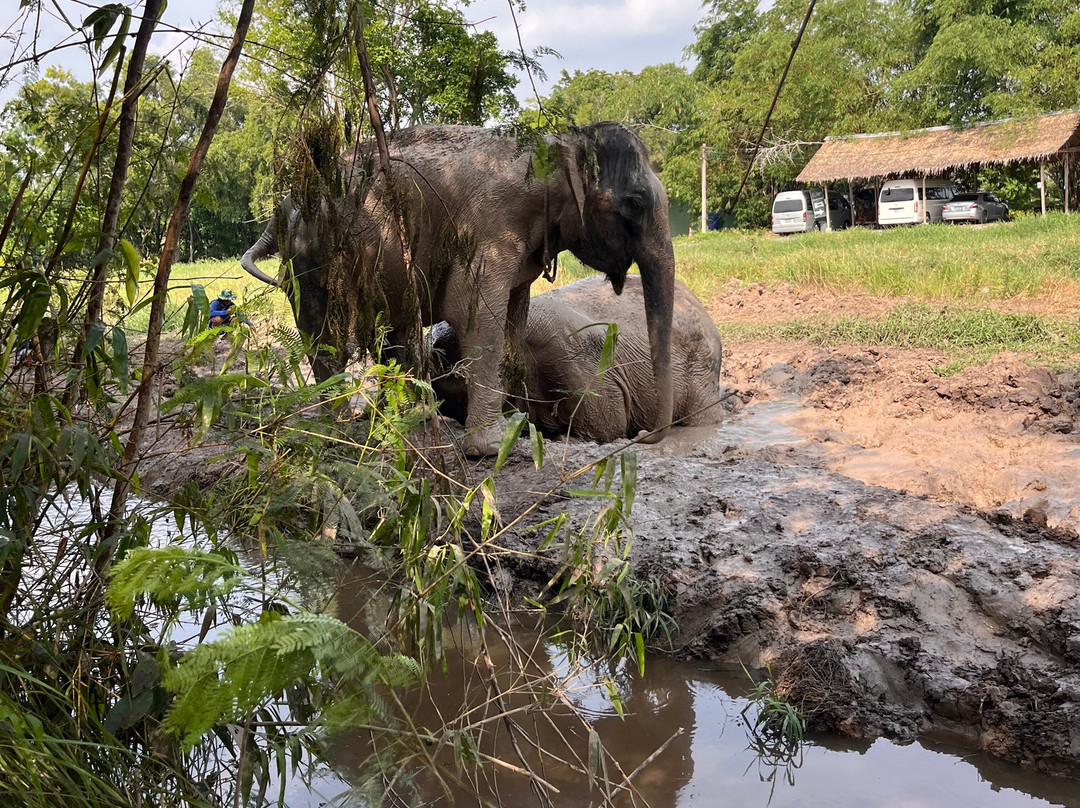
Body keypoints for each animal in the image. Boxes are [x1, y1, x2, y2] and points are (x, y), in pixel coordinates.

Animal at [240, 123, 676, 456]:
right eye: (635, 202)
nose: (643, 435)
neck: (558, 145)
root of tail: (284, 203)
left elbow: (513, 320)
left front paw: (516, 426)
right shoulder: (491, 225)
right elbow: (474, 314)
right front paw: (493, 448)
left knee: (394, 331)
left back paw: (411, 418)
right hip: (311, 255)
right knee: (327, 337)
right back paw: (342, 425)